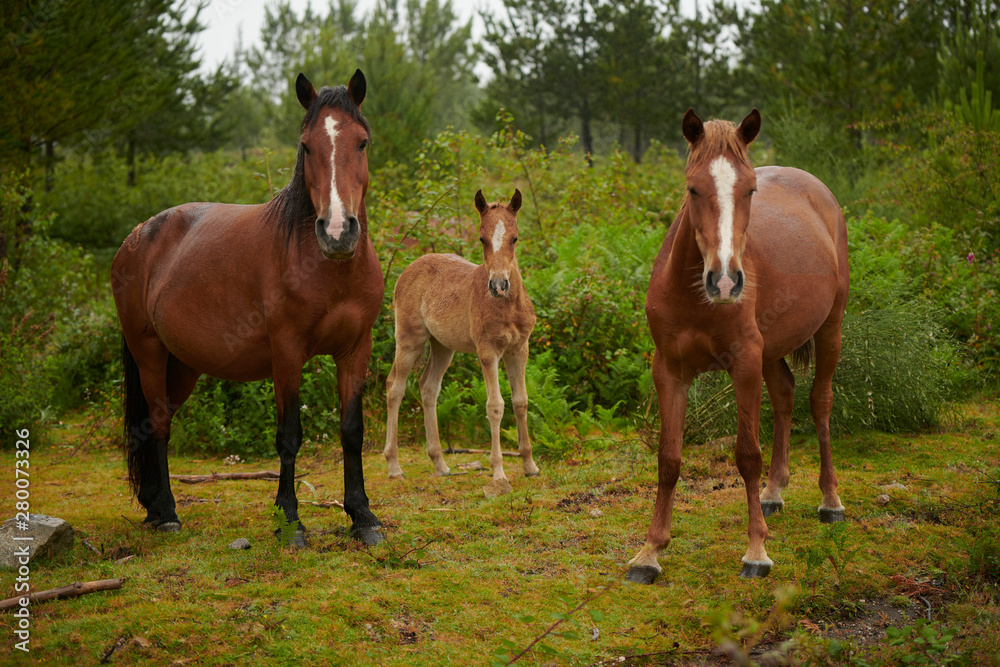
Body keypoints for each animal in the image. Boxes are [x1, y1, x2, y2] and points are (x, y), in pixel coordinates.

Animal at [111, 70, 384, 544]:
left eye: (362, 142)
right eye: (306, 146)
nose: (337, 232)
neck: (327, 268)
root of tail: (138, 235)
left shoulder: (356, 349)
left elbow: (352, 431)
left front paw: (362, 516)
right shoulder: (287, 353)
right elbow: (289, 436)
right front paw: (289, 522)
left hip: (182, 366)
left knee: (153, 424)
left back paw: (152, 505)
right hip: (148, 353)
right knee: (158, 424)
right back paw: (168, 513)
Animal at [382, 189, 540, 496]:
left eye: (515, 238)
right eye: (482, 238)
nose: (499, 285)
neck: (507, 306)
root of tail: (408, 269)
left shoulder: (519, 349)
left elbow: (521, 402)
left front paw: (530, 466)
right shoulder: (487, 351)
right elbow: (495, 406)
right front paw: (499, 473)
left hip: (443, 346)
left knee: (428, 387)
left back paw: (440, 464)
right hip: (409, 340)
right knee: (395, 386)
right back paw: (394, 466)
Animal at [624, 109, 852, 584]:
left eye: (749, 189)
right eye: (693, 188)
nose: (726, 281)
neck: (694, 297)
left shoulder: (744, 364)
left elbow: (747, 454)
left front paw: (756, 551)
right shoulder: (669, 370)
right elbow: (669, 459)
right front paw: (650, 552)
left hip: (830, 329)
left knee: (820, 402)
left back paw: (830, 502)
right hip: (772, 351)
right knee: (784, 395)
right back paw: (774, 492)